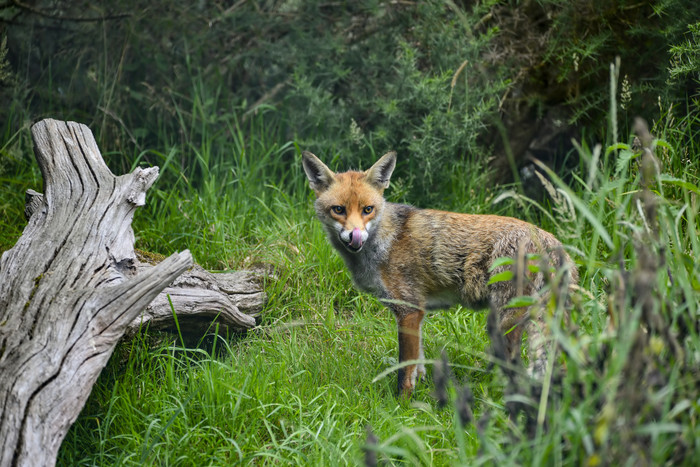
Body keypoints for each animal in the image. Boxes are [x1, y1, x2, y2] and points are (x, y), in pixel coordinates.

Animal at [300, 151, 580, 398]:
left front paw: (402, 405)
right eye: (338, 210)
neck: (384, 242)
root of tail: (552, 242)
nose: (355, 236)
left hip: (505, 323)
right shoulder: (418, 312)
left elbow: (405, 369)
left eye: (367, 209)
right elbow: (419, 364)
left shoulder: (408, 309)